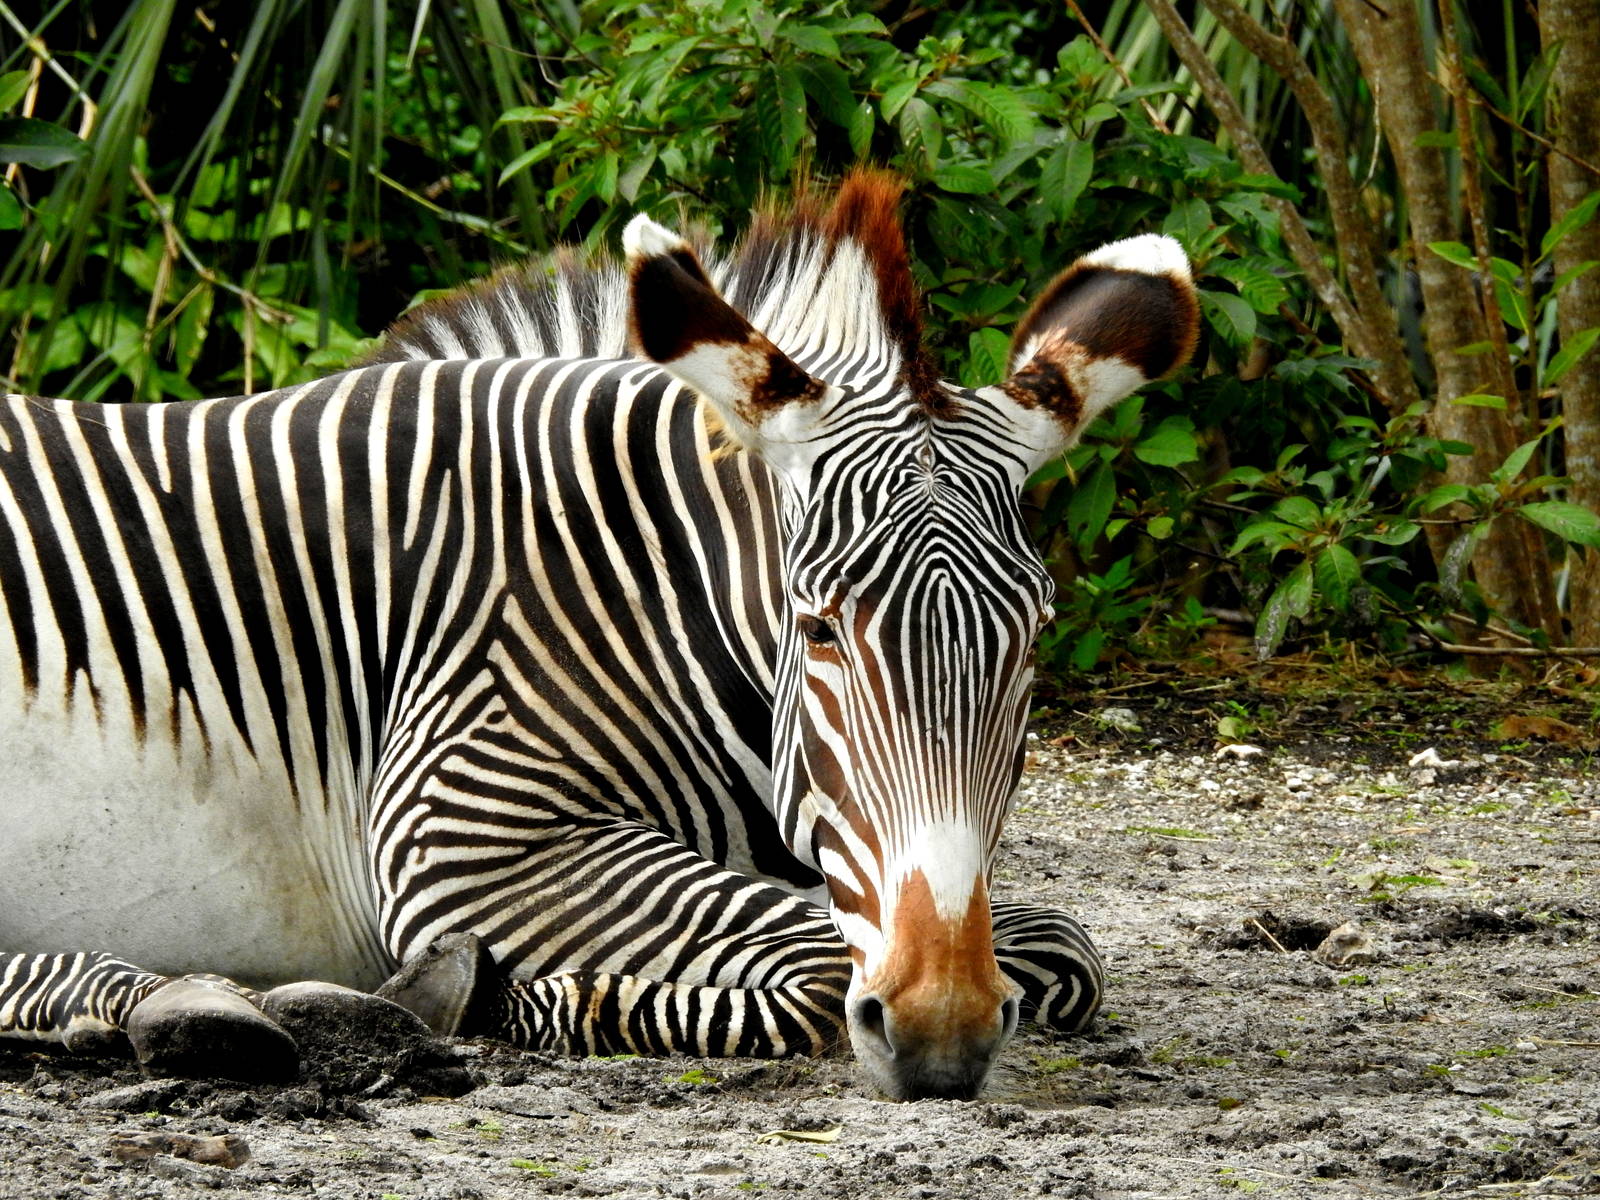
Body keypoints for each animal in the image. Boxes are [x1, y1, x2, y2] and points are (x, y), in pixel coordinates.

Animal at [0, 171, 1197, 1100]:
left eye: (1033, 639)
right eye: (818, 628)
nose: (942, 1033)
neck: (622, 583)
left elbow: (1064, 950)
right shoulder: (464, 825)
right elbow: (824, 965)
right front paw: (494, 997)